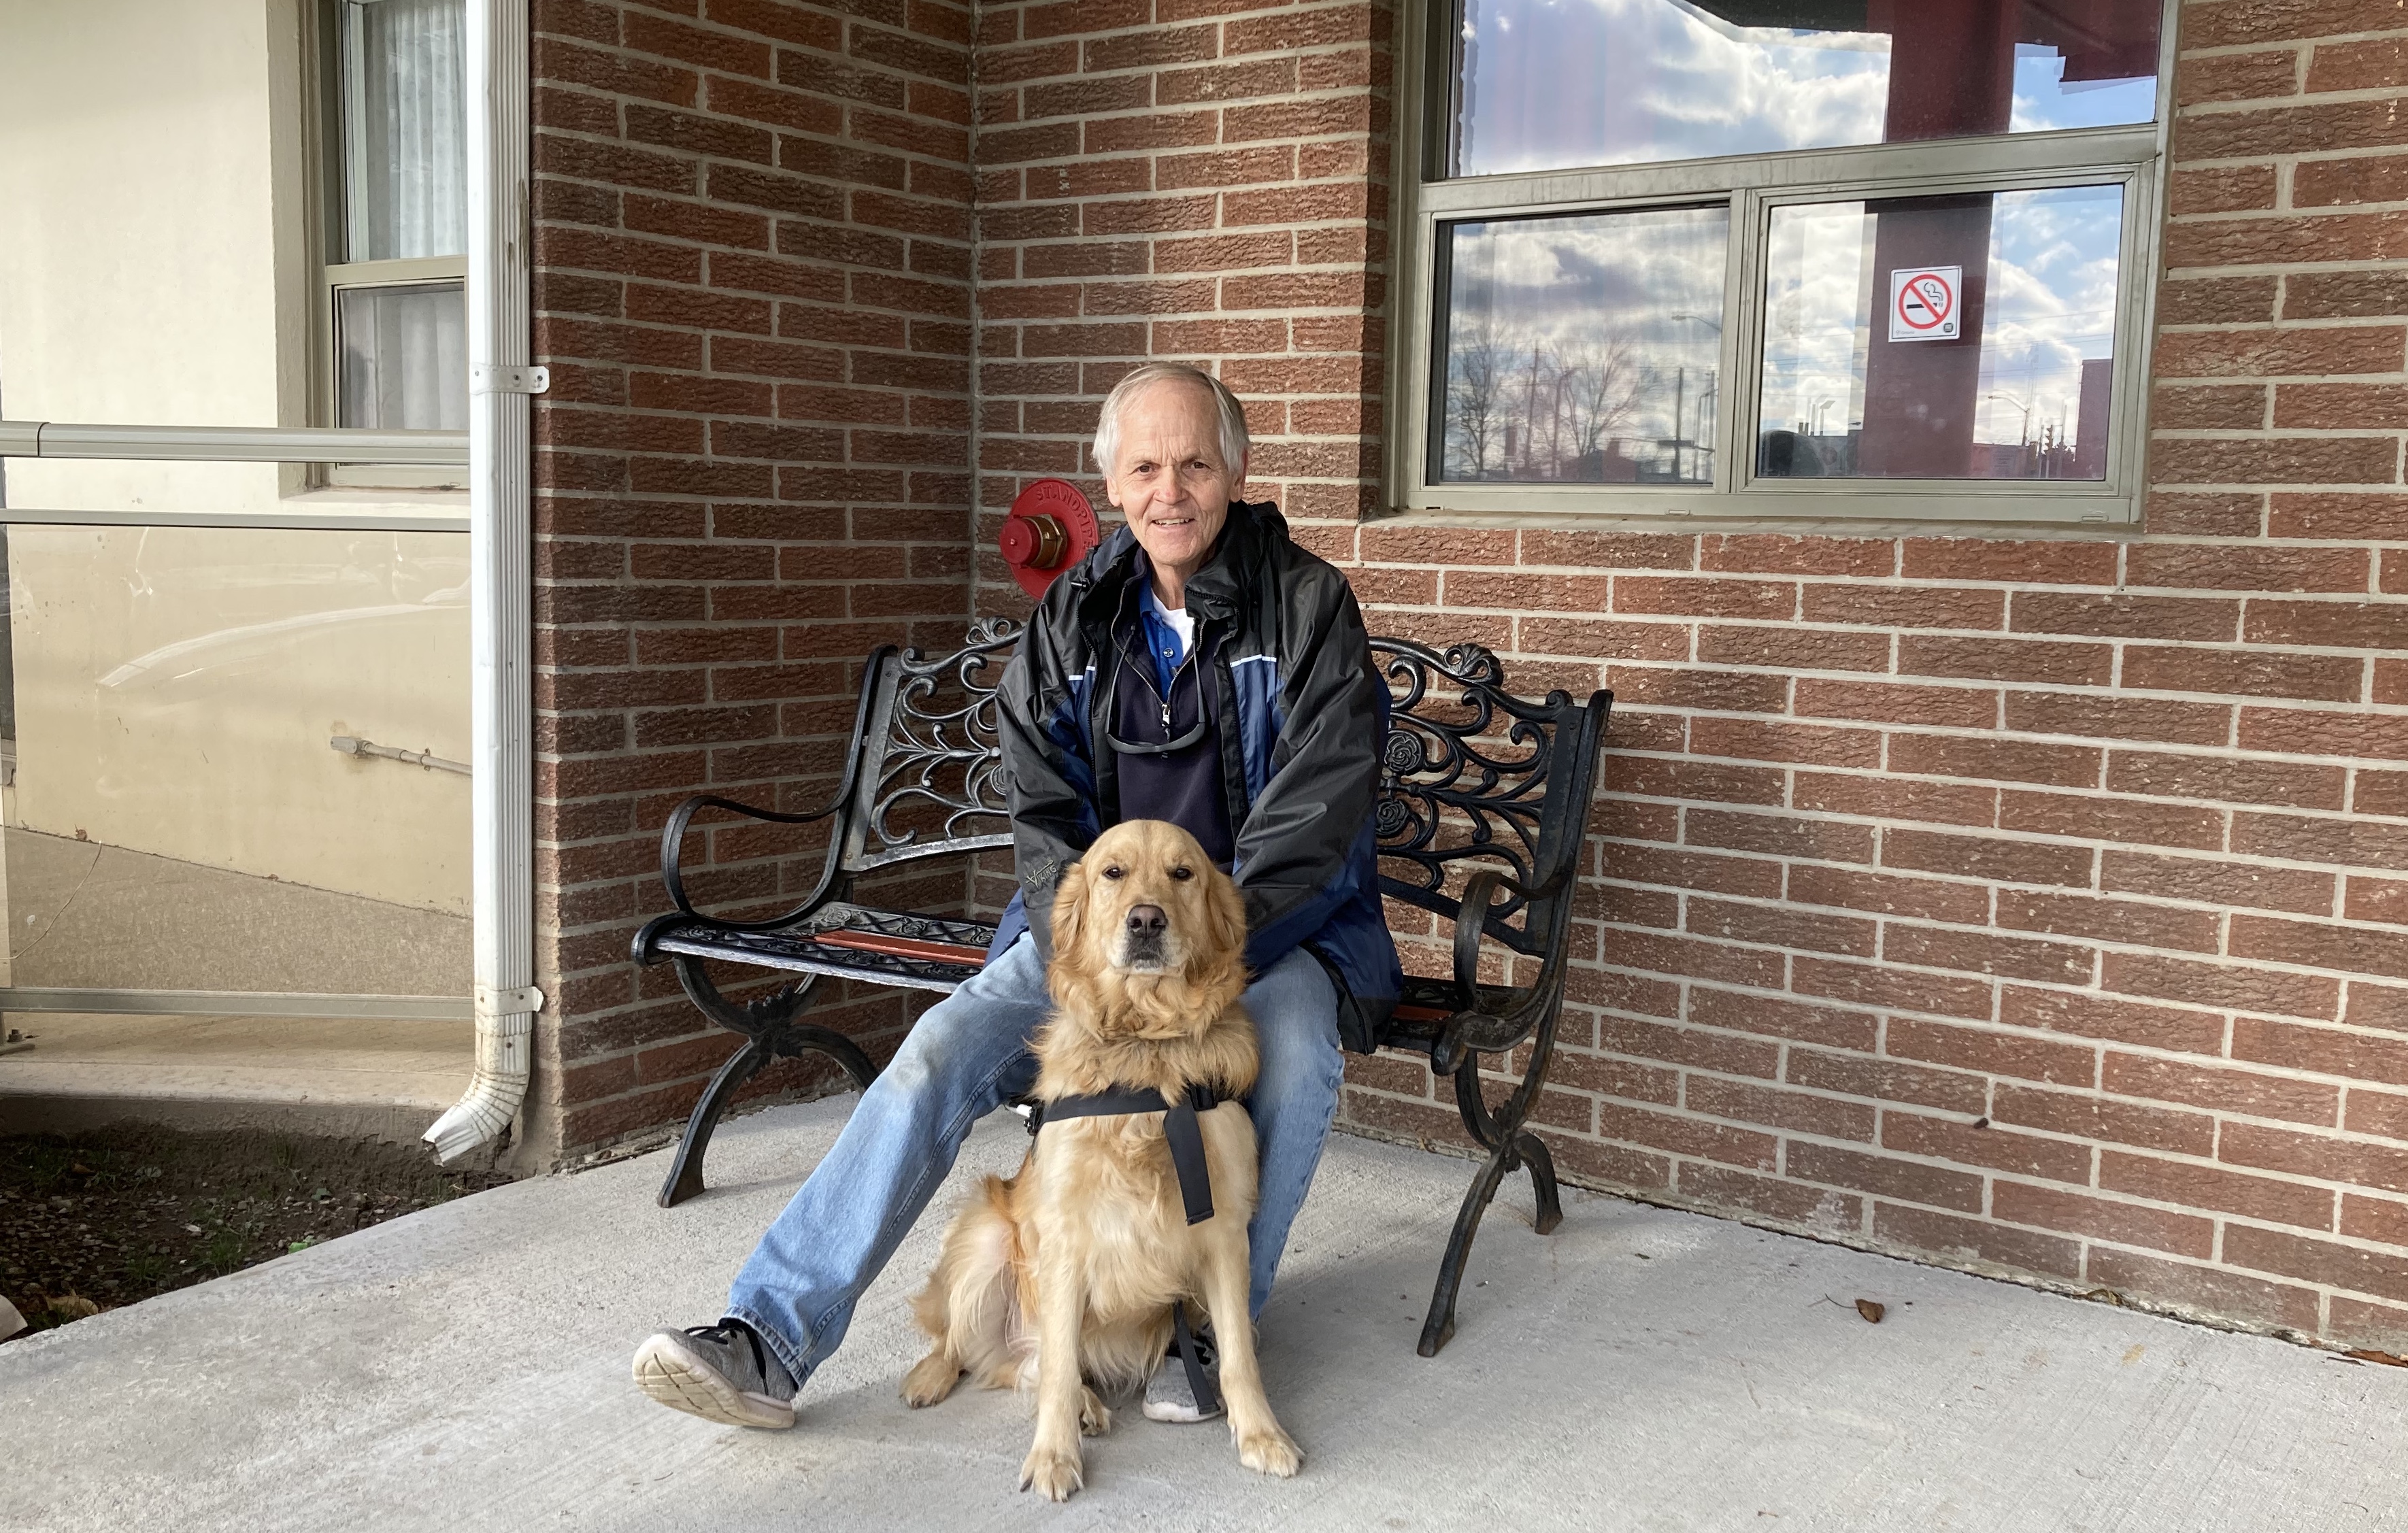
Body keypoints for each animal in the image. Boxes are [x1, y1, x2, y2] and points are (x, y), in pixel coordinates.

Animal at [895, 818, 1300, 1502]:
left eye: (1182, 873)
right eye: (1113, 873)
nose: (1146, 920)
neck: (1145, 1050)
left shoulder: (1224, 1233)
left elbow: (1240, 1356)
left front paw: (1262, 1435)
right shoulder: (1063, 1238)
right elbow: (1058, 1370)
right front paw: (1054, 1457)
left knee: (1028, 1367)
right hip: (985, 1243)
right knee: (983, 1348)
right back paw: (936, 1379)